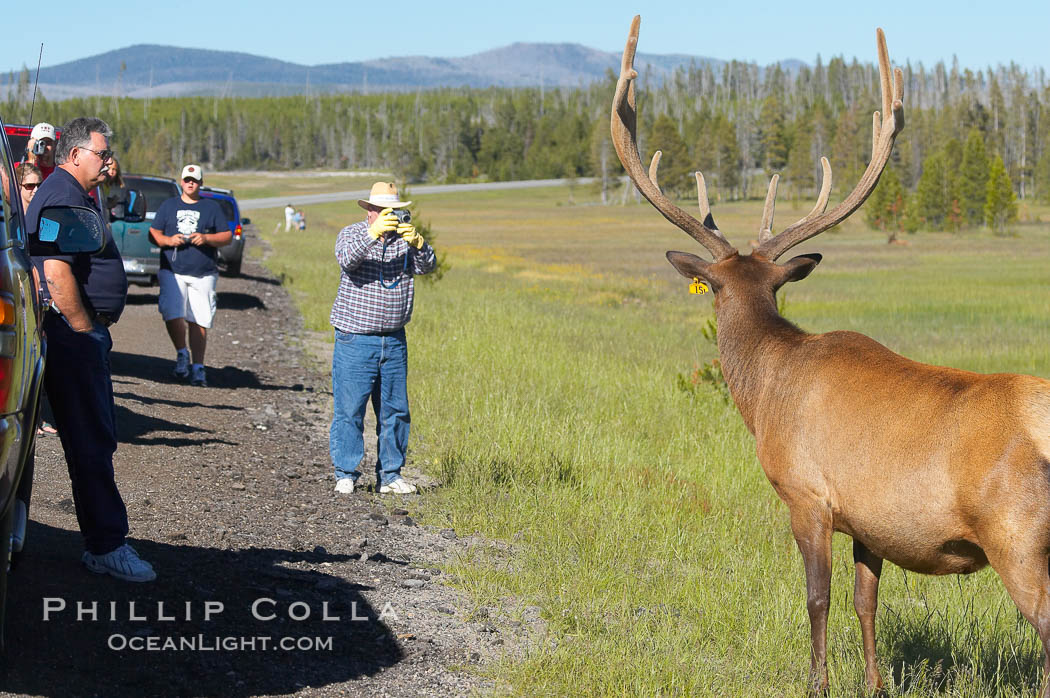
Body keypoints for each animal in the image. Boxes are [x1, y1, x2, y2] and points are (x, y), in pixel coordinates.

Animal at [613, 13, 1050, 692]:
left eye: (717, 287)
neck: (764, 390)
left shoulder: (806, 495)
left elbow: (816, 598)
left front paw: (817, 682)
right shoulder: (870, 522)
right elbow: (865, 601)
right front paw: (873, 684)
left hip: (1018, 537)